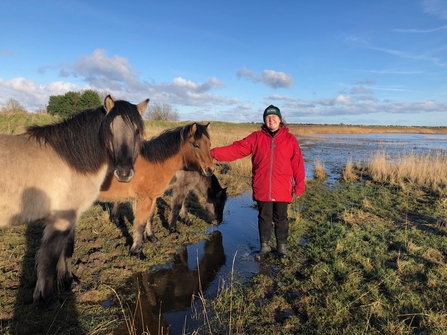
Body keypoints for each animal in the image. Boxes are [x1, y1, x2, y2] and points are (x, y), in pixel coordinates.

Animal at [0, 96, 147, 312]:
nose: (124, 173)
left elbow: (67, 250)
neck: (71, 162)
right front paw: (48, 298)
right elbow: (49, 258)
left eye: (137, 131)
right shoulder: (61, 220)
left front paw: (69, 282)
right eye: (110, 130)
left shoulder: (71, 217)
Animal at [99, 122, 214, 258]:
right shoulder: (145, 200)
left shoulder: (150, 199)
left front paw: (151, 238)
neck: (152, 164)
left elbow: (150, 217)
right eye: (196, 145)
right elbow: (140, 224)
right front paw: (137, 252)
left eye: (209, 144)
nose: (210, 169)